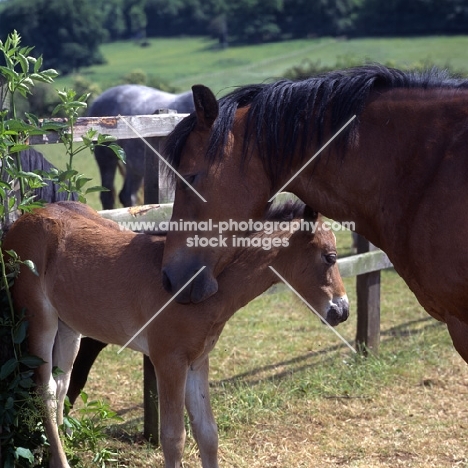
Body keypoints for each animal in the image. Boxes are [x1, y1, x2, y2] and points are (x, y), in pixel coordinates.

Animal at [3, 200, 348, 468]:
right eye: (329, 256)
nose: (342, 310)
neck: (199, 287)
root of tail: (21, 220)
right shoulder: (168, 361)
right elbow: (173, 438)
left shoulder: (197, 361)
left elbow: (208, 433)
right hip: (40, 320)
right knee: (45, 391)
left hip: (70, 329)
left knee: (61, 386)